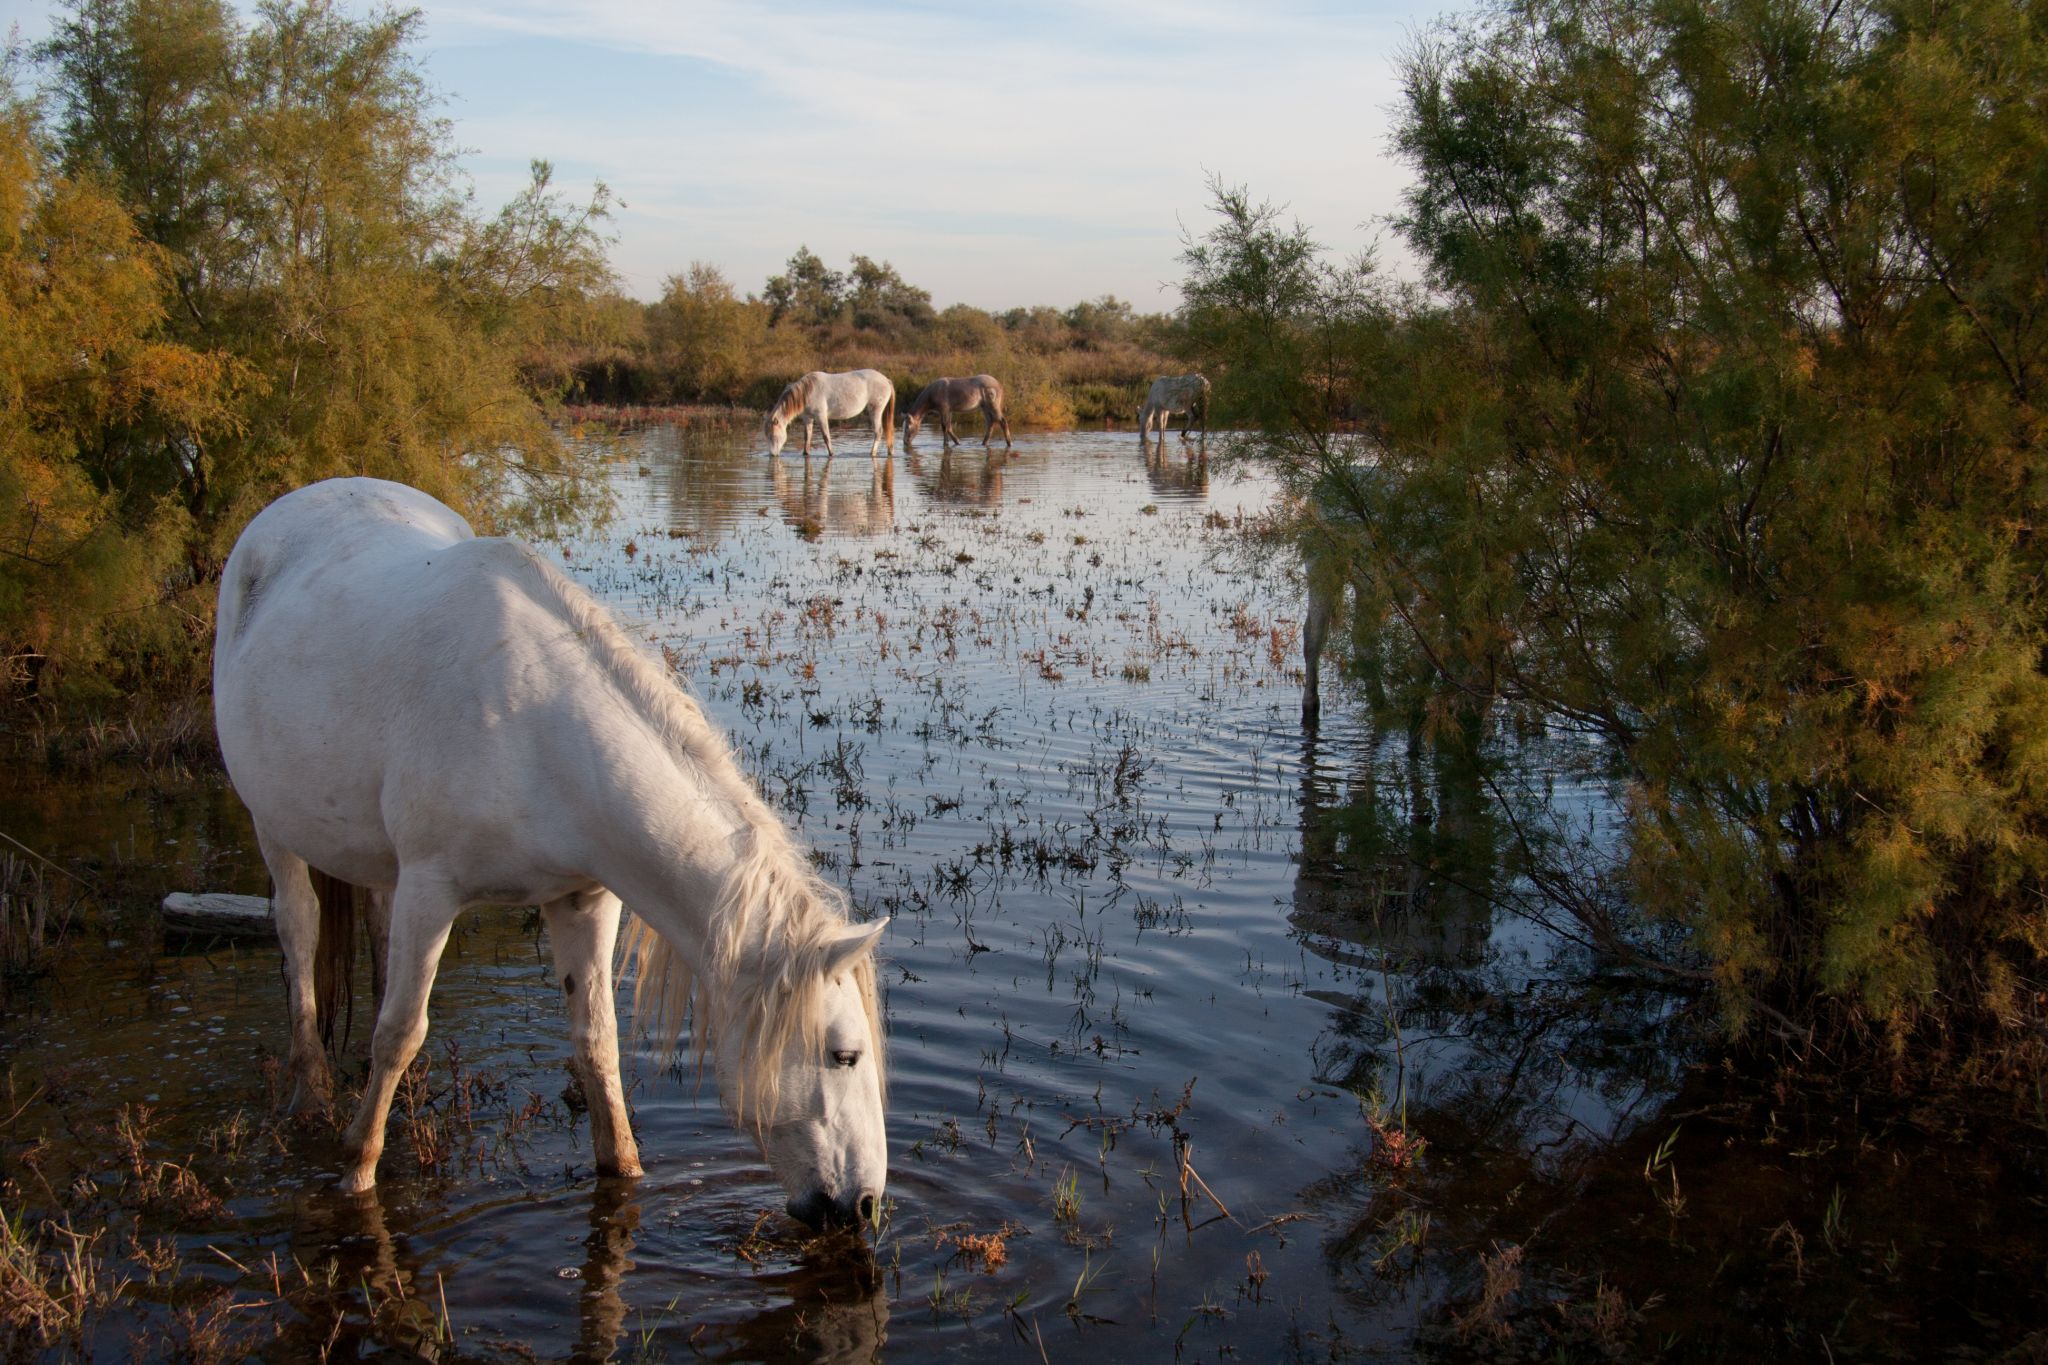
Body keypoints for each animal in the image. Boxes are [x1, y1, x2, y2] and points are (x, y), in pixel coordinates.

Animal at [218, 478, 888, 1227]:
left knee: (373, 926)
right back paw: (310, 1091)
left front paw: (624, 1166)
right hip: (272, 822)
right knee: (299, 931)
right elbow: (398, 1030)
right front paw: (356, 1168)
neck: (537, 729)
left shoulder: (584, 898)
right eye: (844, 1055)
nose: (864, 1204)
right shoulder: (431, 890)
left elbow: (596, 1043)